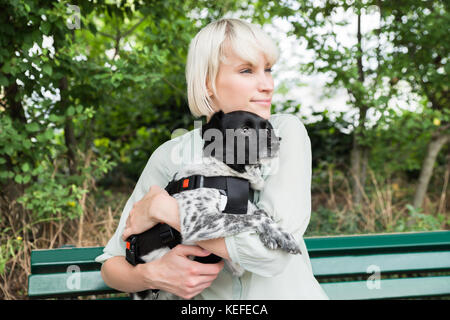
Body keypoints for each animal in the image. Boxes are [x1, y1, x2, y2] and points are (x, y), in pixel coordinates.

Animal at [130, 110, 300, 300]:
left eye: (267, 128)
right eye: (245, 129)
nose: (278, 141)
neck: (225, 172)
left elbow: (261, 214)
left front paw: (276, 235)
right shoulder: (200, 223)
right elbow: (252, 218)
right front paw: (280, 236)